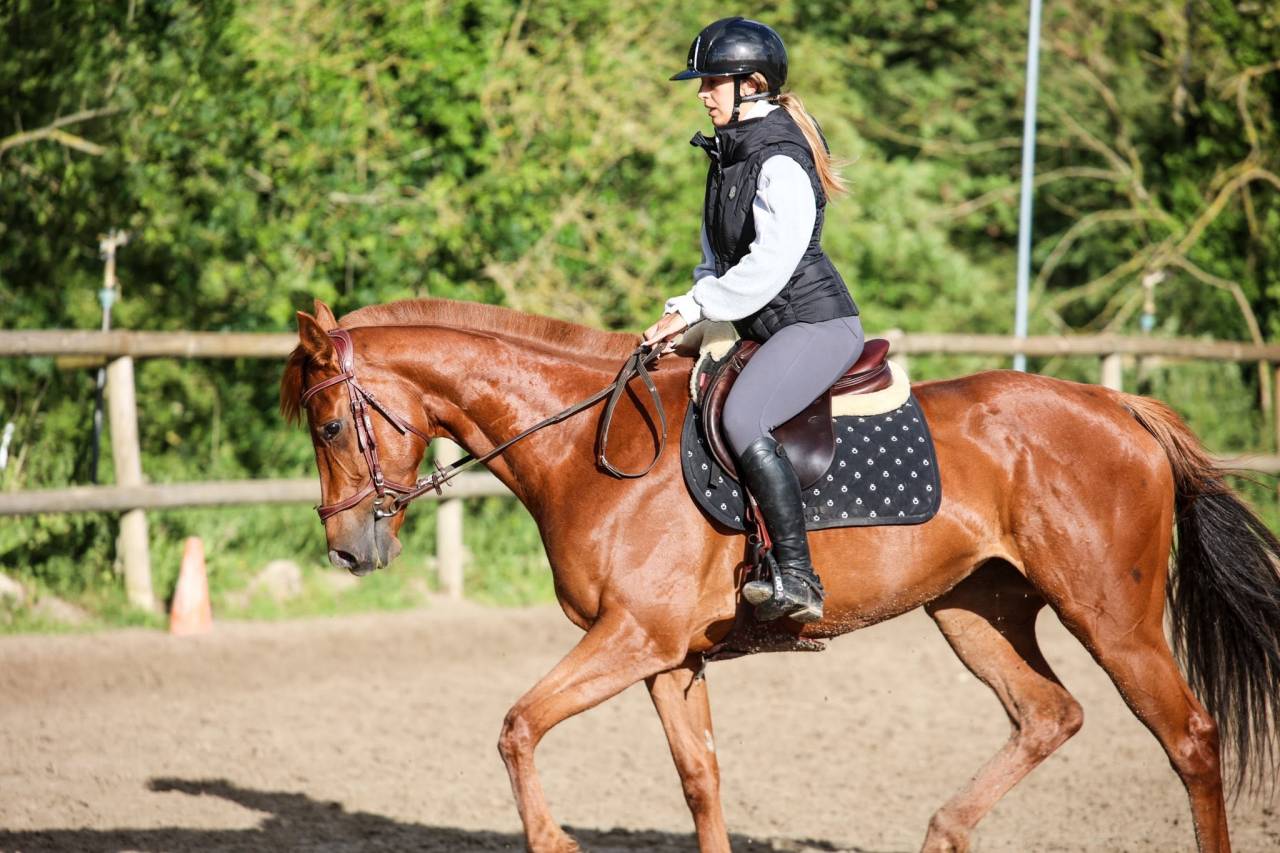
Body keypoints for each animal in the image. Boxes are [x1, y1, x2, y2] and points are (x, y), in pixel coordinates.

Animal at [280, 297, 1280, 853]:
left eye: (329, 427)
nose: (348, 551)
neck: (589, 449)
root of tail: (1118, 404)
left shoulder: (629, 638)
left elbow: (517, 725)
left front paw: (553, 839)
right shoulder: (668, 657)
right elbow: (701, 781)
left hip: (1110, 613)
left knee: (1190, 737)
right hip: (975, 608)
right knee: (1049, 714)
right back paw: (943, 832)